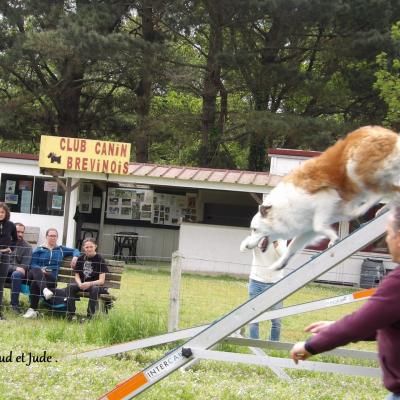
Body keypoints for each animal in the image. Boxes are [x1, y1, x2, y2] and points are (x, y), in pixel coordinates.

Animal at [241, 123, 400, 270]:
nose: (246, 246)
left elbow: (319, 226)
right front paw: (279, 265)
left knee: (379, 193)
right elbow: (293, 246)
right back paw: (380, 210)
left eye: (254, 229)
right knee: (392, 193)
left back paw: (358, 211)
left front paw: (333, 237)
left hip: (355, 167)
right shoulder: (307, 229)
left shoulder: (326, 198)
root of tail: (390, 134)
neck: (282, 210)